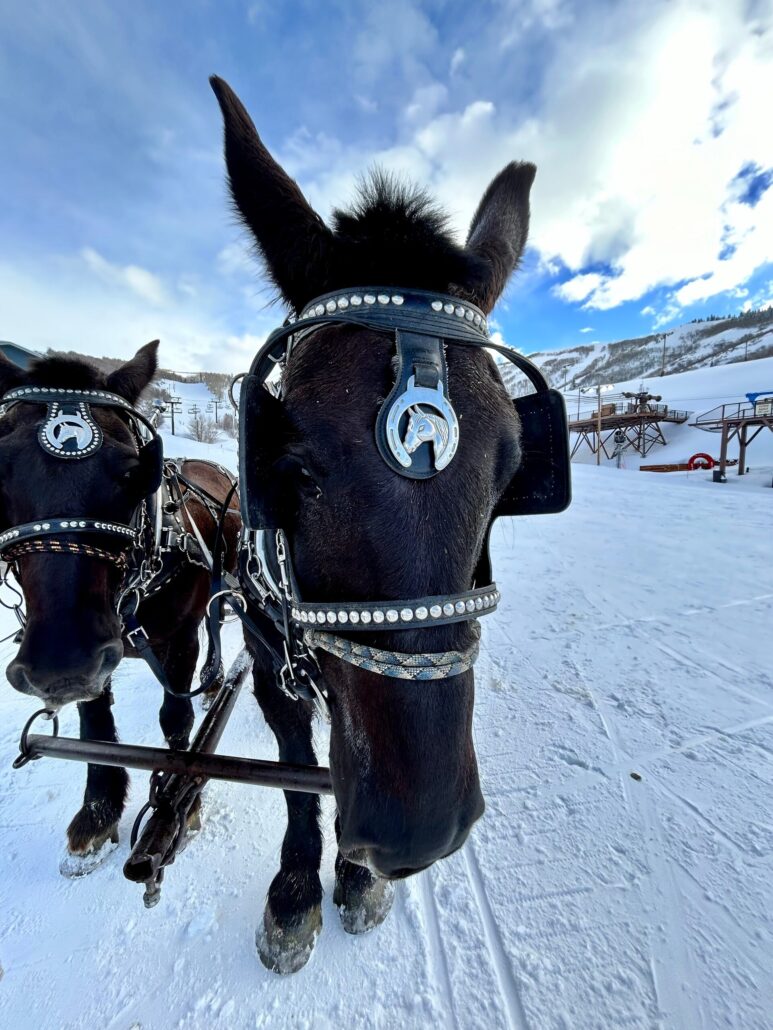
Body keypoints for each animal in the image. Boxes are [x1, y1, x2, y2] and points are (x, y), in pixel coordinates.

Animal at [0, 342, 241, 875]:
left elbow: (176, 717)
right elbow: (95, 725)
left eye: (132, 471)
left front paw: (178, 800)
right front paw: (99, 811)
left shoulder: (178, 639)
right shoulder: (96, 656)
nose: (58, 663)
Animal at [210, 76, 547, 973]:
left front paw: (354, 879)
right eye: (293, 468)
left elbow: (335, 765)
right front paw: (297, 891)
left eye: (510, 474)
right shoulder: (274, 664)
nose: (416, 832)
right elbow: (300, 772)